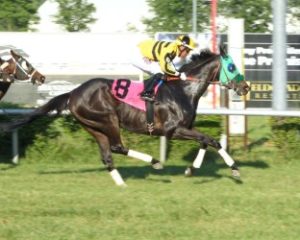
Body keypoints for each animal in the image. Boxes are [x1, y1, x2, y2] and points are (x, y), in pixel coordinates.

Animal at [0, 47, 251, 186]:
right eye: (231, 66)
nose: (245, 87)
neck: (183, 89)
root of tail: (73, 93)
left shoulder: (185, 129)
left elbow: (206, 141)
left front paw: (192, 169)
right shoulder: (173, 130)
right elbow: (211, 140)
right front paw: (234, 169)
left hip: (93, 126)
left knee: (107, 155)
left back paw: (122, 185)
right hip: (108, 119)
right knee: (117, 147)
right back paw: (155, 162)